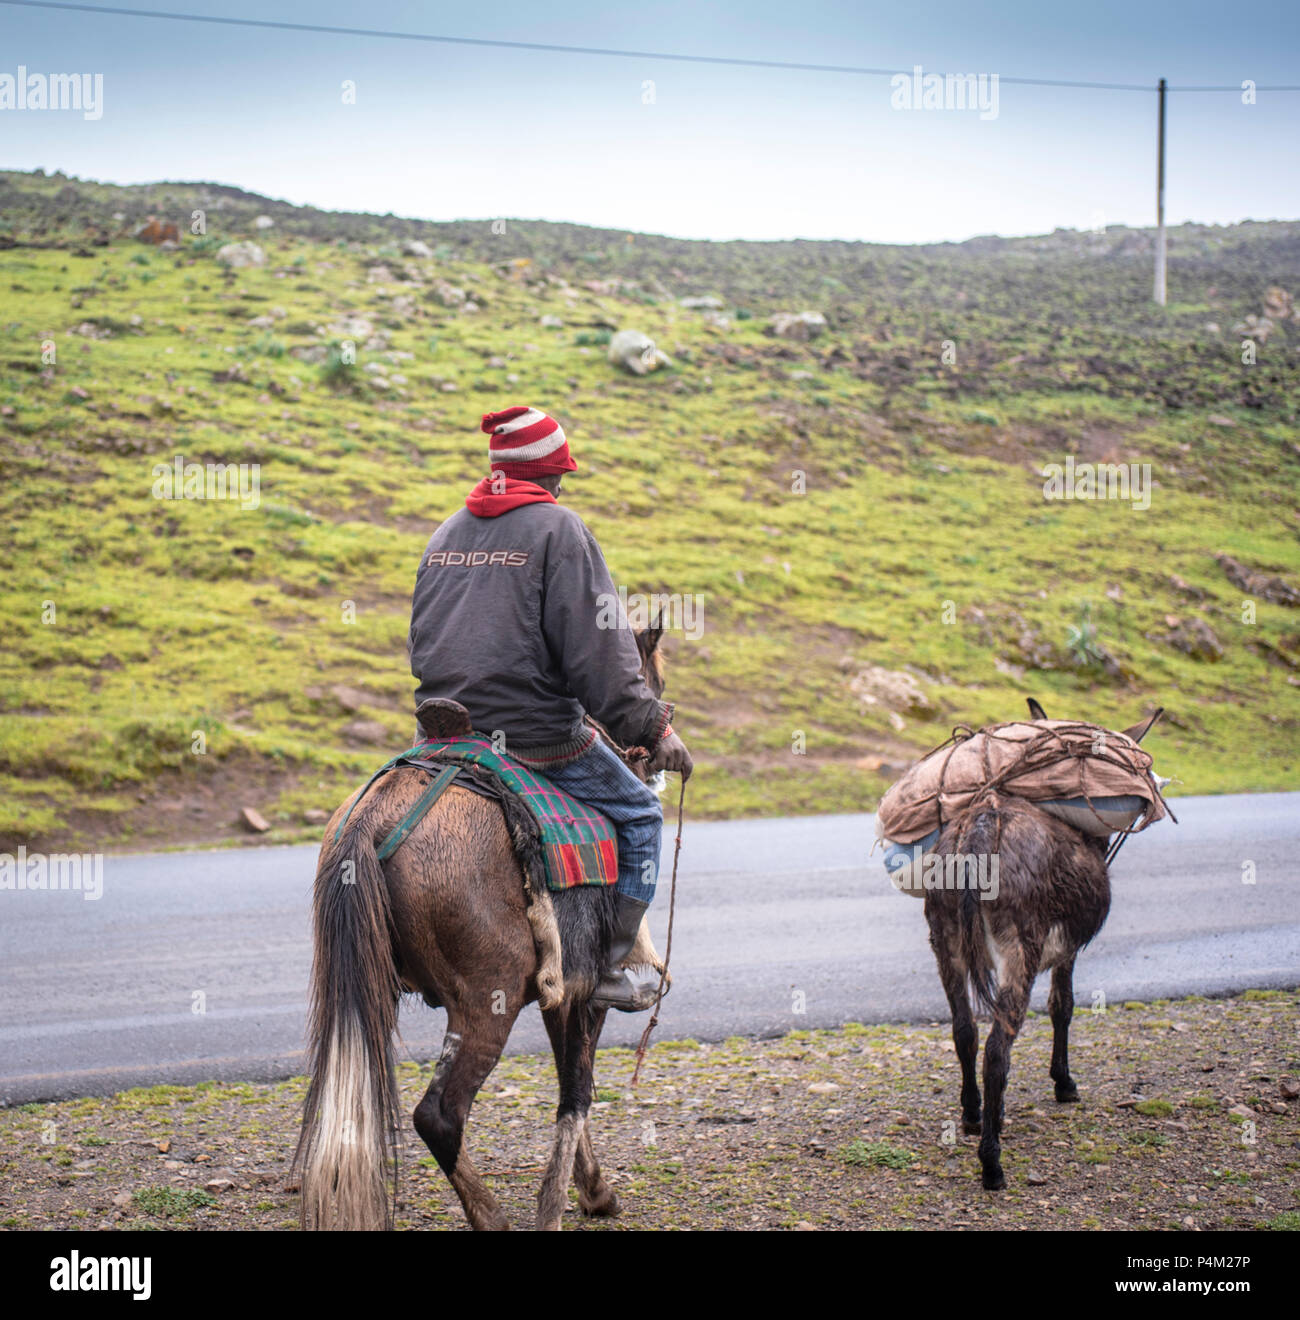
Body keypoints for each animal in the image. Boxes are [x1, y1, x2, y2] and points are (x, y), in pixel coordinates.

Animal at [295, 623, 670, 1230]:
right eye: (652, 680)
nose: (659, 759)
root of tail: (372, 821)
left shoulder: (558, 992)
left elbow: (571, 1089)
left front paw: (592, 1190)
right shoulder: (583, 993)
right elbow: (577, 1095)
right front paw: (570, 1200)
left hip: (366, 986)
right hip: (485, 1002)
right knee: (439, 1116)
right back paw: (490, 1216)